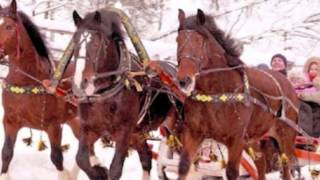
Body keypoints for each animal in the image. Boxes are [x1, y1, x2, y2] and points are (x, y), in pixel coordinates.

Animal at [0, 0, 80, 179]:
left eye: (8, 26)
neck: (27, 82)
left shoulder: (53, 126)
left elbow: (57, 158)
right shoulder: (10, 121)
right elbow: (6, 153)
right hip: (74, 120)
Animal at [70, 9, 180, 180]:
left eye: (96, 44)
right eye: (74, 41)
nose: (80, 83)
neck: (106, 95)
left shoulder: (124, 132)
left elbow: (115, 169)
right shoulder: (89, 128)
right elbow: (81, 159)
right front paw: (99, 172)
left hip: (175, 130)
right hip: (138, 134)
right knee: (146, 159)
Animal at [174, 9, 298, 179]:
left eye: (199, 41)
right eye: (177, 40)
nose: (183, 80)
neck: (215, 92)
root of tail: (288, 84)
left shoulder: (236, 138)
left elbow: (232, 172)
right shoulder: (193, 132)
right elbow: (184, 166)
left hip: (286, 137)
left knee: (285, 168)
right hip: (252, 138)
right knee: (260, 162)